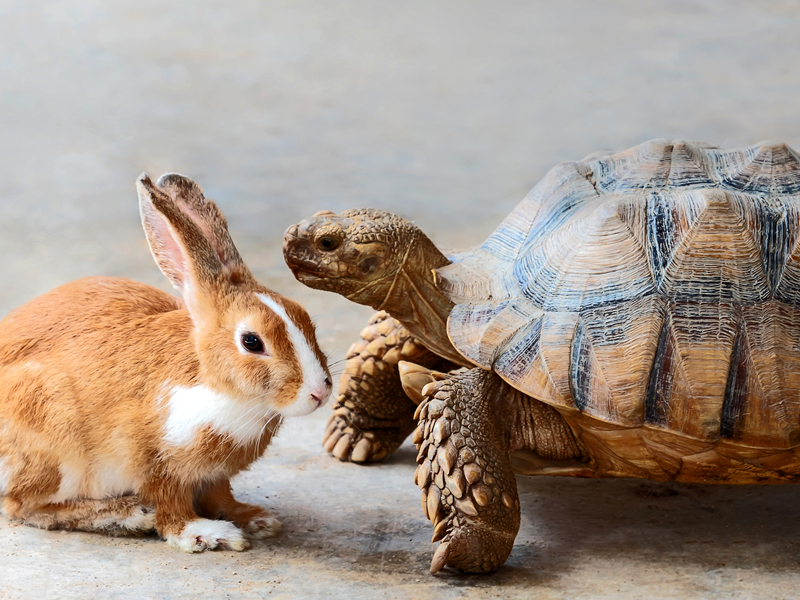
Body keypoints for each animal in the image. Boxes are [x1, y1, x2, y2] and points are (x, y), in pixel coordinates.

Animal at [0, 173, 332, 552]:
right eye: (252, 342)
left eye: (305, 317)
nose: (320, 392)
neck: (220, 388)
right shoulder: (157, 466)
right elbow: (171, 508)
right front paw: (206, 534)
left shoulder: (216, 475)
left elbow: (222, 497)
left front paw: (255, 519)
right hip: (55, 444)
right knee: (22, 505)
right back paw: (126, 514)